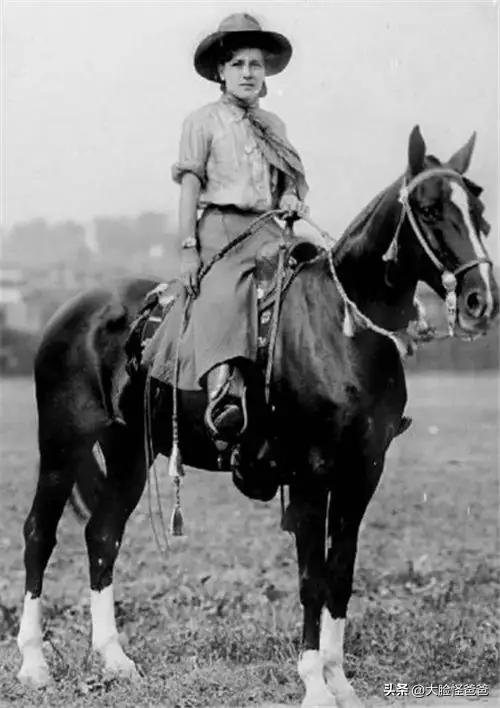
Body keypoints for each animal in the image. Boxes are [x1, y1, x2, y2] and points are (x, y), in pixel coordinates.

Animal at [16, 126, 498, 708]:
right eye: (428, 209)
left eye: (478, 209)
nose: (480, 300)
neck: (341, 329)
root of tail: (71, 311)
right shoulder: (312, 475)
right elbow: (312, 578)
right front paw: (315, 684)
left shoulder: (362, 475)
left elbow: (340, 574)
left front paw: (340, 682)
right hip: (61, 448)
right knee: (40, 534)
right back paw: (34, 664)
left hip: (129, 452)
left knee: (102, 536)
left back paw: (115, 659)